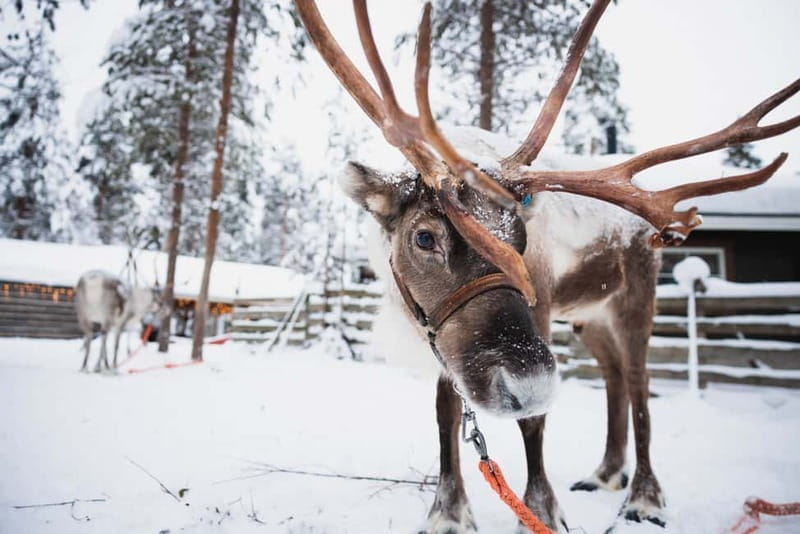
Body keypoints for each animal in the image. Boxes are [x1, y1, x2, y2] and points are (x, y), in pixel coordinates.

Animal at [294, 0, 800, 531]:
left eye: (520, 239)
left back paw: (643, 497)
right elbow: (445, 412)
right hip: (587, 316)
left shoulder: (535, 314)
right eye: (425, 237)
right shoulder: (442, 336)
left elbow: (534, 421)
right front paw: (448, 511)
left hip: (635, 297)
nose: (531, 383)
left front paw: (539, 509)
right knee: (613, 375)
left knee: (638, 382)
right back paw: (605, 473)